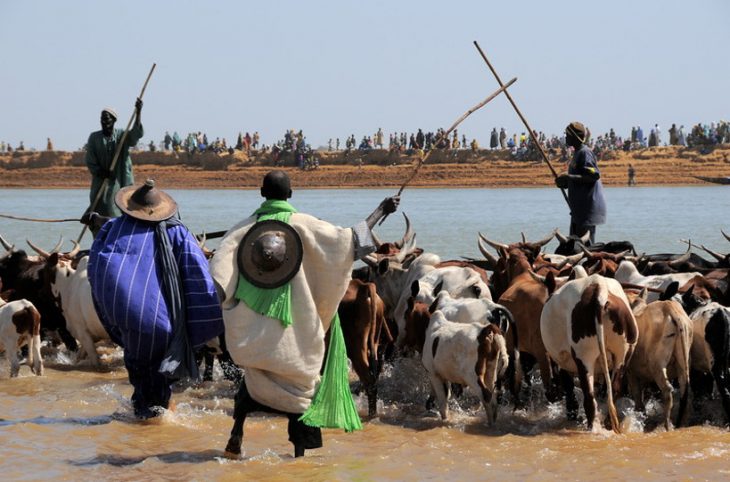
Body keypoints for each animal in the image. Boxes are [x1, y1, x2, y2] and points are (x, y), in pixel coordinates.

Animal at [536, 274, 636, 434]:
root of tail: (599, 288)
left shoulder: (562, 360)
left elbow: (569, 387)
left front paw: (572, 413)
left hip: (584, 356)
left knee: (589, 397)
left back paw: (591, 427)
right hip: (623, 354)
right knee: (614, 390)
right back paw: (609, 425)